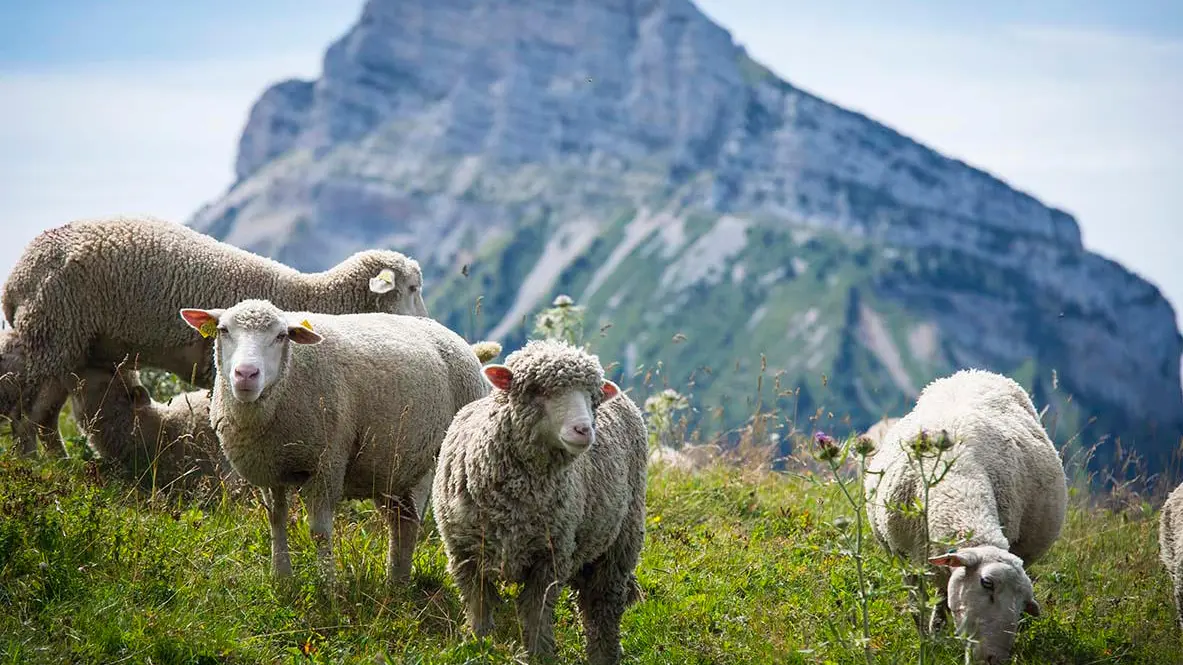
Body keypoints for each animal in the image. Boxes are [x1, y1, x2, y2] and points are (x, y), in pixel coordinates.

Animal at [1, 215, 428, 458]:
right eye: (412, 288)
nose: (430, 324)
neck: (312, 297)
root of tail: (18, 274)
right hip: (50, 332)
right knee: (24, 418)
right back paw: (34, 471)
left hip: (72, 347)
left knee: (43, 419)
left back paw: (62, 469)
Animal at [178, 298, 487, 584]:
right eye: (223, 330)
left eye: (281, 336)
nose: (246, 374)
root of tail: (447, 332)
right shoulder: (269, 468)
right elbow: (276, 519)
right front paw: (282, 577)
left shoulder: (327, 462)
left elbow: (319, 532)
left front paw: (327, 585)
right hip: (390, 467)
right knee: (400, 521)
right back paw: (396, 580)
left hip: (431, 462)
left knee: (412, 520)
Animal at [432, 338, 648, 665]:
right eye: (536, 389)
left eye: (593, 399)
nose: (584, 430)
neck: (515, 502)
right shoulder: (464, 554)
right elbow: (479, 604)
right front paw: (478, 644)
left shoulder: (549, 558)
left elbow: (536, 612)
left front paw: (539, 653)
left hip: (620, 541)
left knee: (603, 606)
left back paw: (604, 654)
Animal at [864, 368, 1066, 664]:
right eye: (986, 583)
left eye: (1023, 604)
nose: (995, 660)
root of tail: (979, 371)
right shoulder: (903, 556)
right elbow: (916, 604)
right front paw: (925, 640)